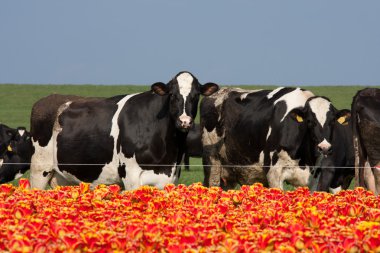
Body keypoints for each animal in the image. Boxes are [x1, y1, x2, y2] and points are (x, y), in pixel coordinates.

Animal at [29, 71, 220, 190]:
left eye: (196, 95)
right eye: (172, 94)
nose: (185, 121)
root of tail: (48, 98)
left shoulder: (170, 177)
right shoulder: (131, 176)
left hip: (64, 177)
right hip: (39, 169)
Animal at [202, 87, 350, 192]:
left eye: (332, 121)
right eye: (309, 121)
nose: (324, 148)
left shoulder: (314, 177)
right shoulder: (274, 173)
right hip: (213, 163)